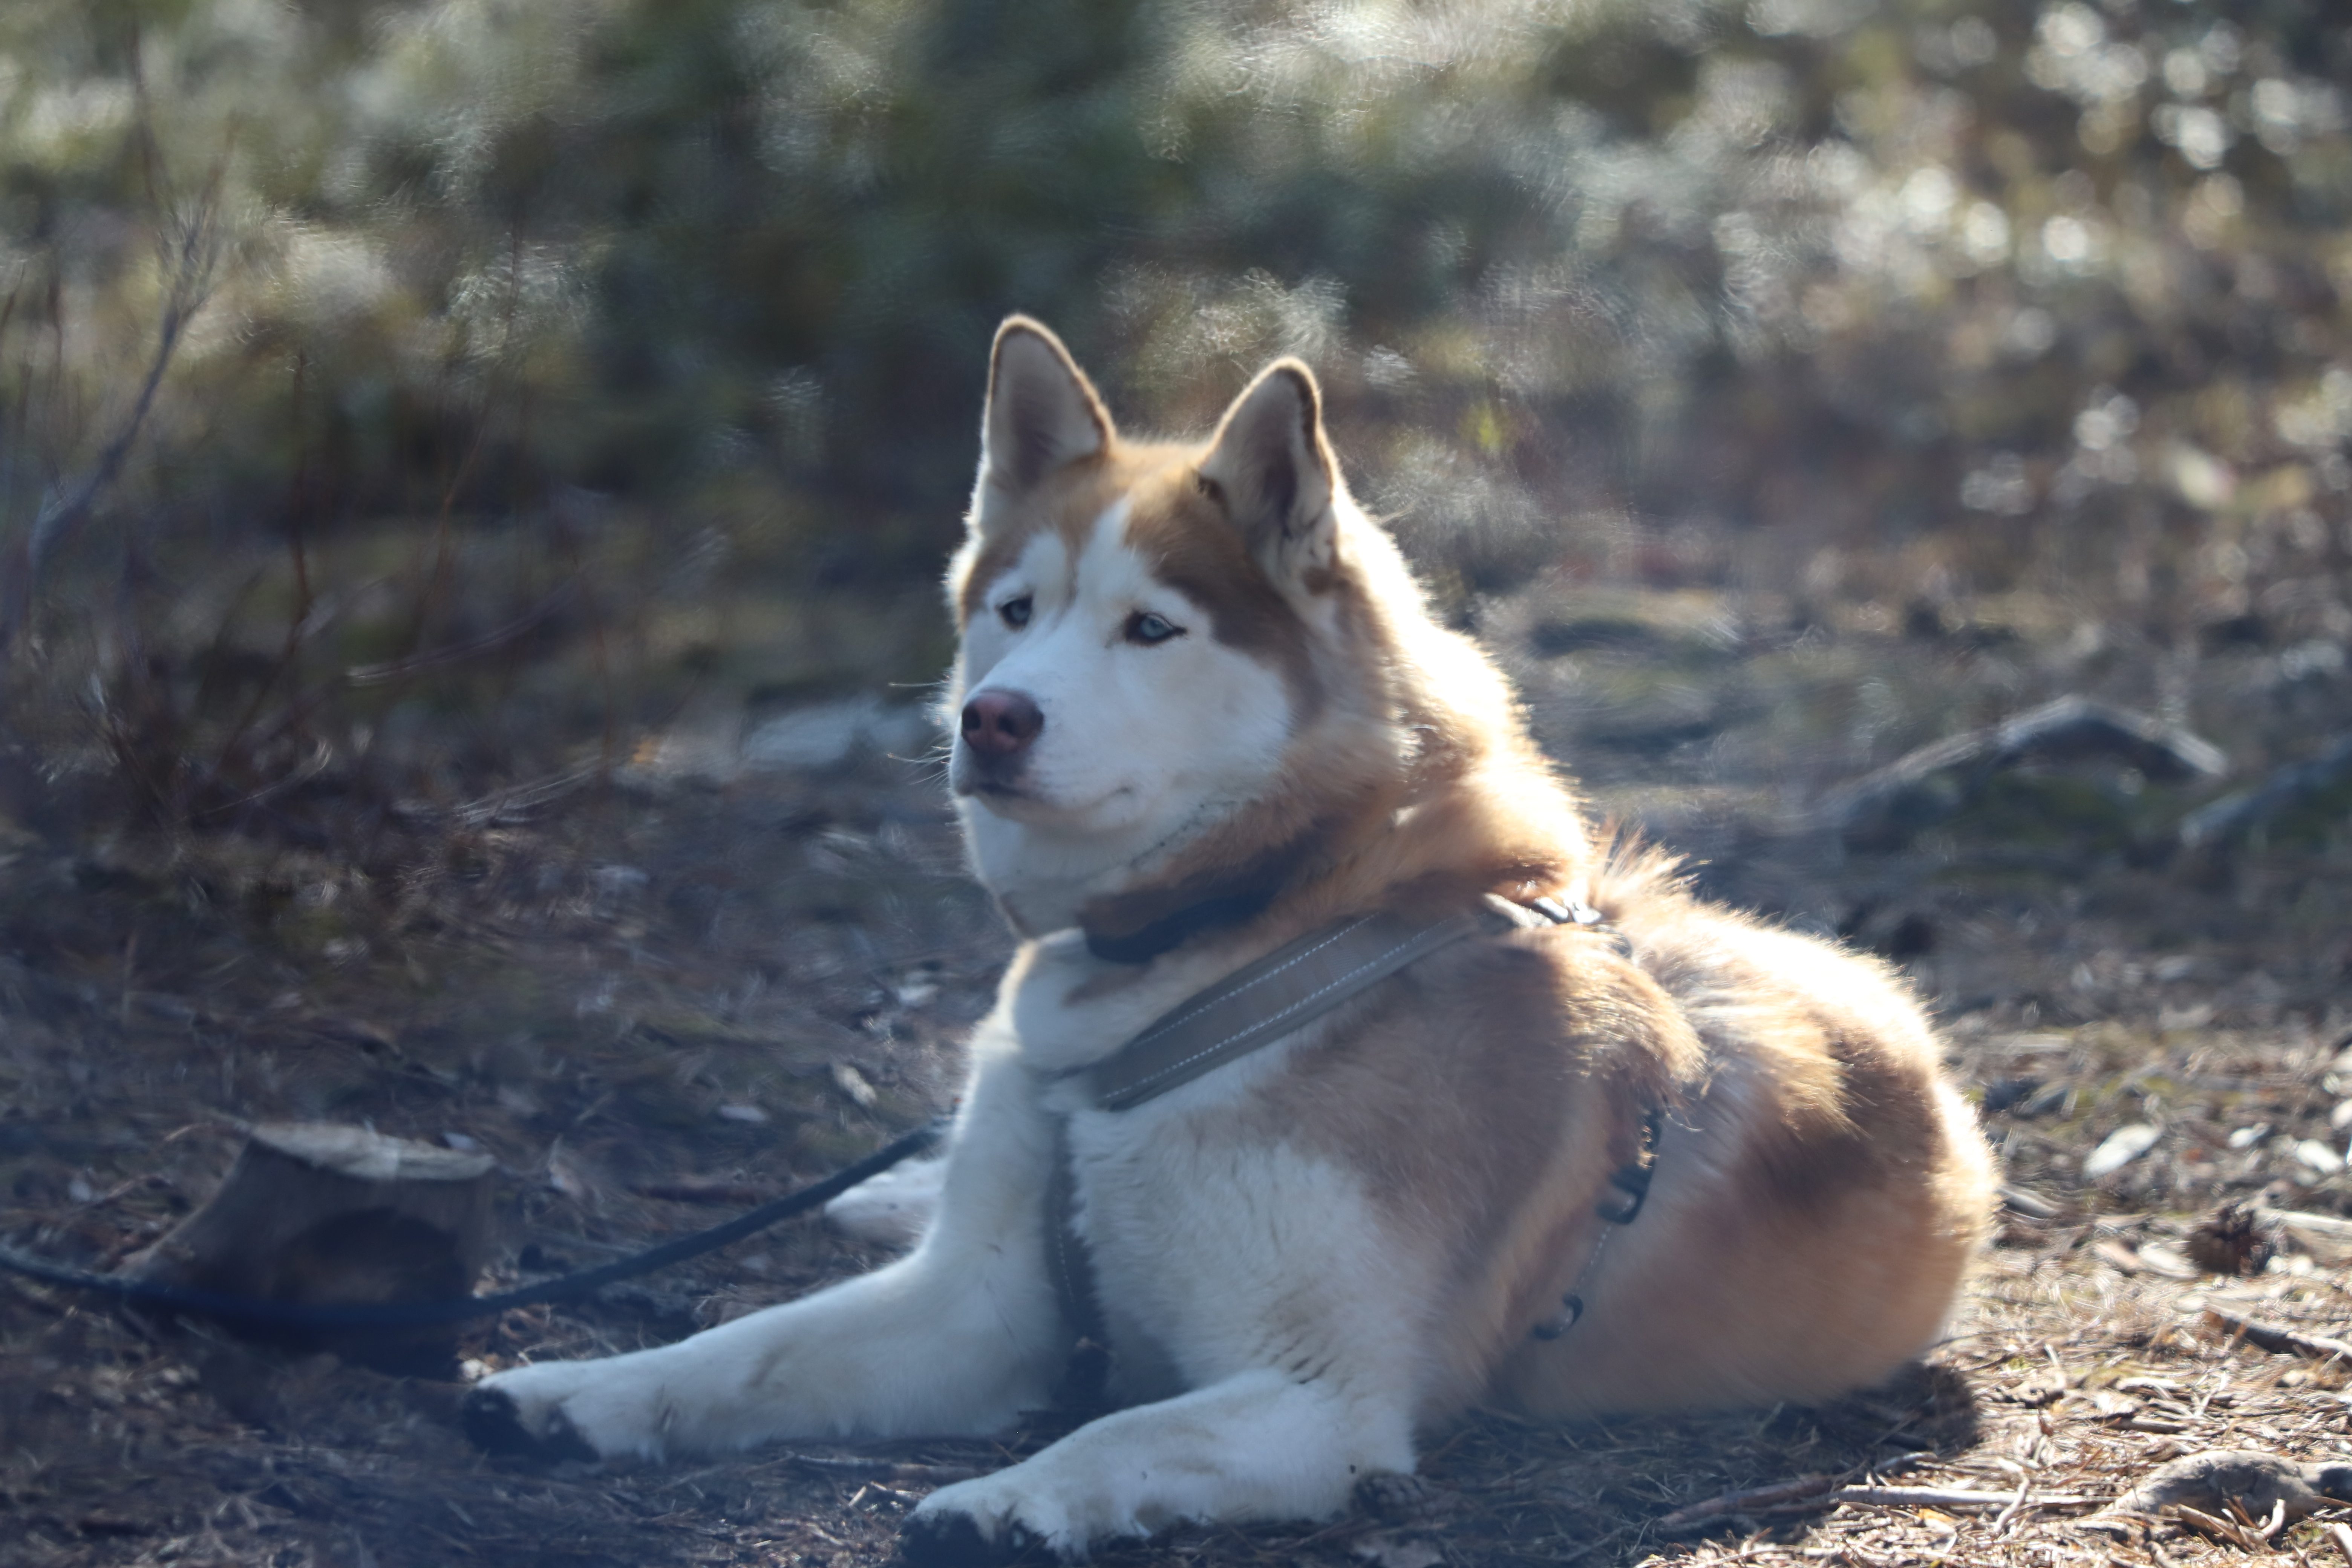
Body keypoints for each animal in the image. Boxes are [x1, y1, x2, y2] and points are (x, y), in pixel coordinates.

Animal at [468, 315, 1994, 1561]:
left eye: (1151, 629)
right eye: (1015, 612)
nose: (991, 717)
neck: (1222, 944)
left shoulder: (1321, 1396)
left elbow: (1118, 1428)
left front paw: (1007, 1501)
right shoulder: (976, 1306)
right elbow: (746, 1348)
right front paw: (573, 1388)